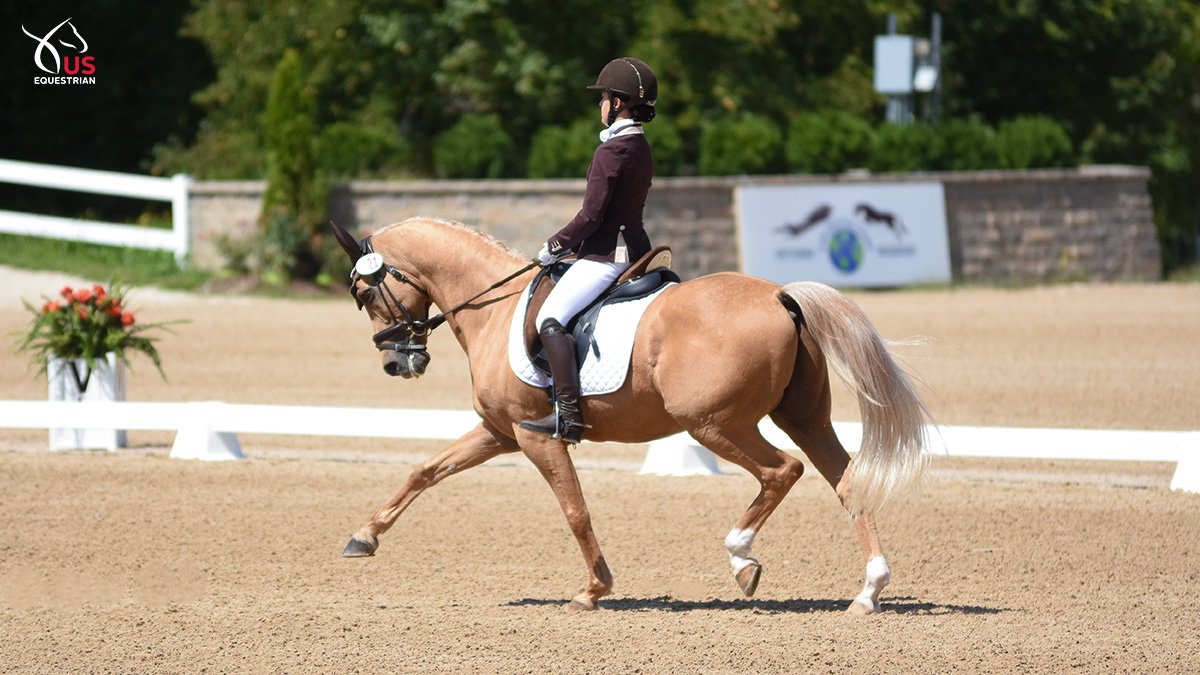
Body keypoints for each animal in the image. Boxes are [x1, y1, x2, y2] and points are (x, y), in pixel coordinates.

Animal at [330, 217, 932, 613]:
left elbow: (575, 511)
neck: (493, 311)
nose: (397, 362)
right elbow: (426, 470)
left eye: (363, 291)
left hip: (713, 424)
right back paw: (868, 593)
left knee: (782, 471)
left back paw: (742, 561)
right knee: (847, 481)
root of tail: (780, 295)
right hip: (803, 418)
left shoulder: (535, 437)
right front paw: (364, 537)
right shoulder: (503, 431)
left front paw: (593, 590)